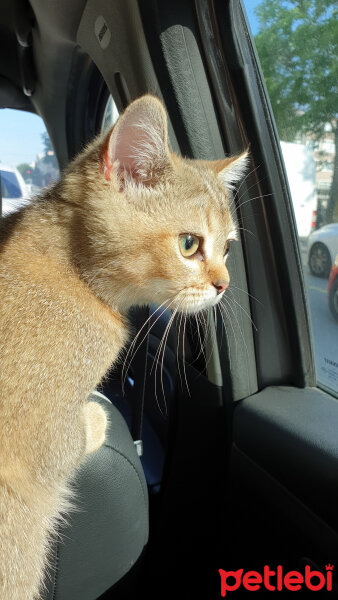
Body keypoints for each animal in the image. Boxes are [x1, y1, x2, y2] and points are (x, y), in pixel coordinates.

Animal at [0, 95, 248, 600]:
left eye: (228, 249)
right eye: (189, 244)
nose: (224, 284)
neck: (70, 265)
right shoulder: (39, 443)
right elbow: (69, 441)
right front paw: (95, 417)